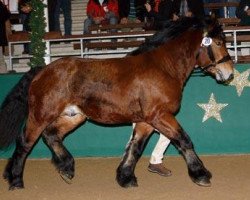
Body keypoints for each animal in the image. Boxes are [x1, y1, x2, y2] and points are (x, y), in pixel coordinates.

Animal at [0, 16, 234, 190]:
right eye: (219, 43)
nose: (229, 73)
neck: (163, 67)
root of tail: (42, 70)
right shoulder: (159, 115)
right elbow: (184, 140)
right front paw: (201, 174)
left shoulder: (146, 121)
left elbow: (135, 148)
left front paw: (126, 177)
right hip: (41, 114)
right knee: (25, 142)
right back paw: (16, 180)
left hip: (74, 116)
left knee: (51, 135)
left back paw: (66, 168)